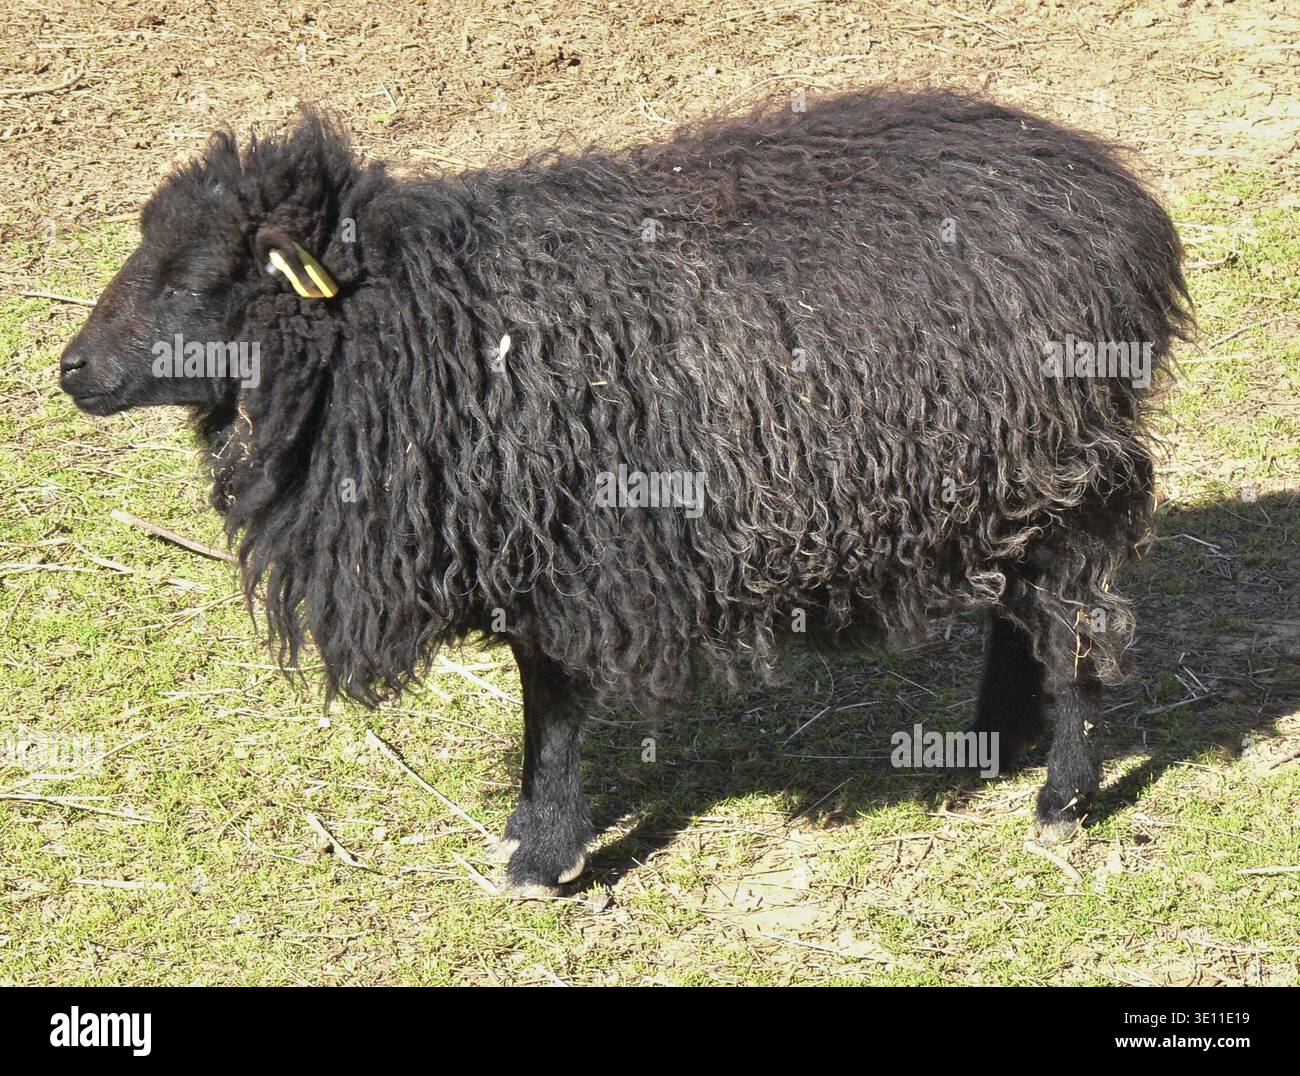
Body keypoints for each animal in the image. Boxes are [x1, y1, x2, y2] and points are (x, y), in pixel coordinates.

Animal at [59, 89, 1191, 894]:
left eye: (199, 277)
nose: (72, 370)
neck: (417, 324)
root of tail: (1114, 196)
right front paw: (533, 832)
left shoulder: (573, 552)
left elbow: (551, 700)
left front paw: (542, 852)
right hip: (1002, 473)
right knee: (1022, 597)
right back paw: (995, 736)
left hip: (1068, 463)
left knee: (1073, 618)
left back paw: (1062, 790)